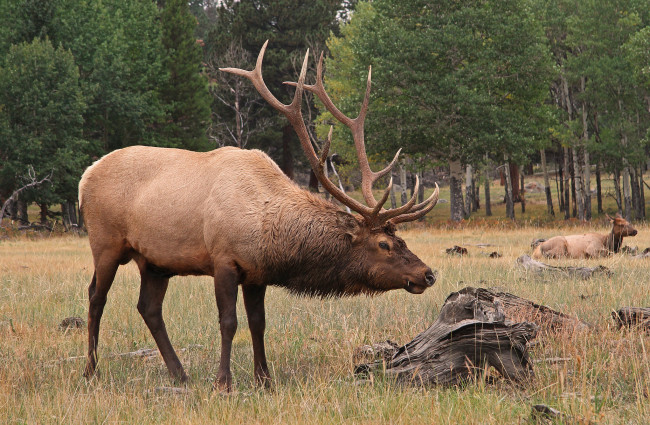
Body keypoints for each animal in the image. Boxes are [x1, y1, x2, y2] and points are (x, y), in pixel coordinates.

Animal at [78, 40, 438, 390]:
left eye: (401, 240)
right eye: (383, 245)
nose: (428, 274)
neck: (268, 231)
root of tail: (85, 176)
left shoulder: (257, 273)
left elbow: (258, 323)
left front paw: (264, 379)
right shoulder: (223, 259)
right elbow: (228, 322)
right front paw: (223, 382)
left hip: (155, 261)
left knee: (148, 308)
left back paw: (179, 374)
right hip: (105, 241)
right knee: (96, 296)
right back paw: (91, 371)